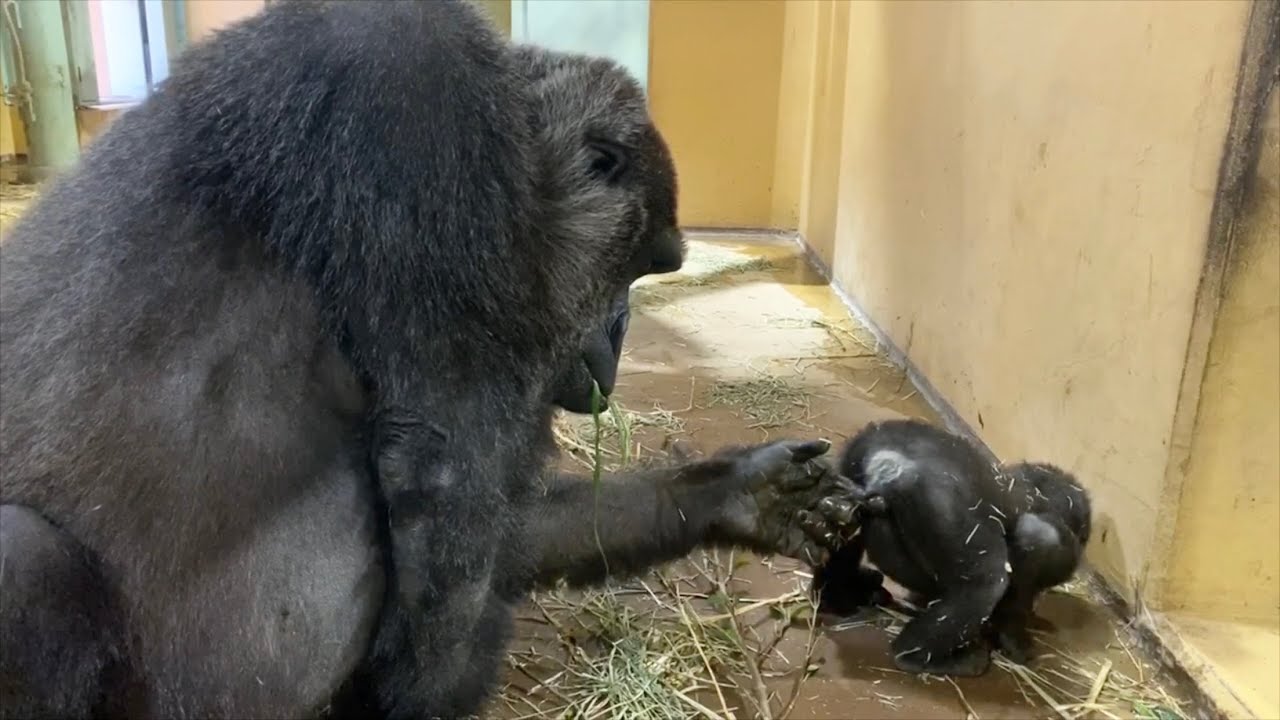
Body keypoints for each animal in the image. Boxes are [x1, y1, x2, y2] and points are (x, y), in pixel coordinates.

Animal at [0, 2, 859, 718]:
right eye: (640, 267)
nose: (618, 333)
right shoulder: (412, 94)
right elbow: (443, 485)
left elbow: (502, 525)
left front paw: (741, 491)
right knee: (28, 561)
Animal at [809, 419, 1091, 677]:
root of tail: (887, 466)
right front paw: (1015, 639)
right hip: (941, 500)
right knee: (985, 585)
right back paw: (919, 657)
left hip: (849, 460)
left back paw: (841, 594)